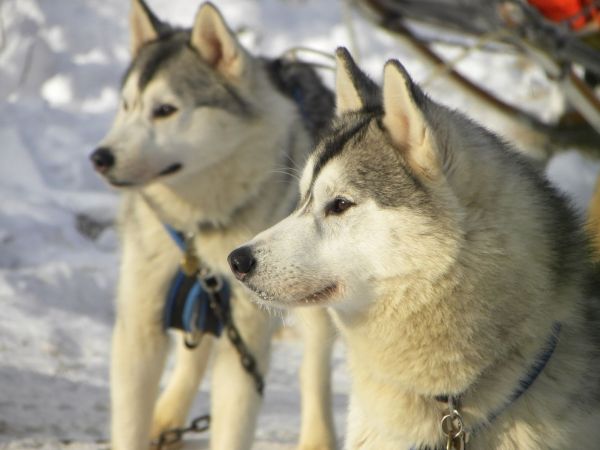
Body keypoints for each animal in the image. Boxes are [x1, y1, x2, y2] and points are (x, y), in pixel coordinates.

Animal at [92, 1, 340, 448]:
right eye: (126, 105)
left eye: (165, 110)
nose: (100, 157)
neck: (198, 226)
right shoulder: (138, 327)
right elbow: (130, 420)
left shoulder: (246, 344)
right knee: (195, 350)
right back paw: (168, 415)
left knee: (314, 369)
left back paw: (318, 436)